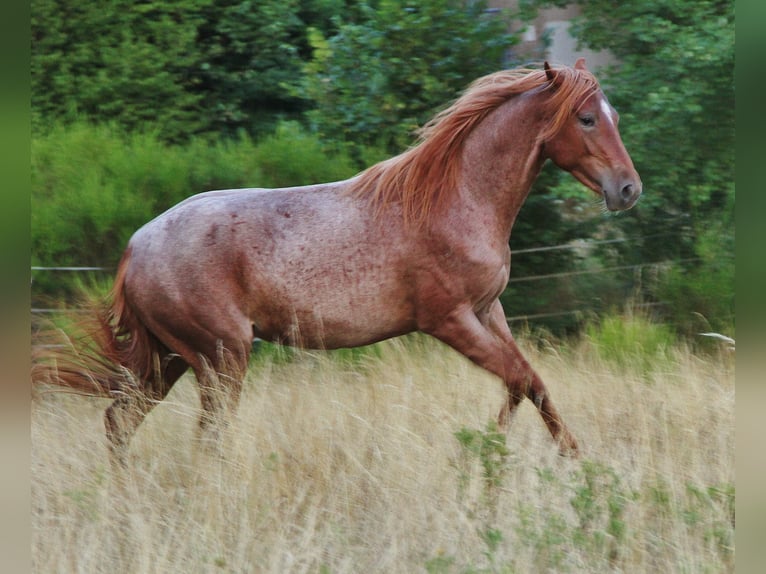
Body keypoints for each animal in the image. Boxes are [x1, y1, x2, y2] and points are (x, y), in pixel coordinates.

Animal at [33, 59, 641, 466]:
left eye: (611, 114)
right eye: (587, 119)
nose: (628, 189)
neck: (457, 198)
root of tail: (135, 248)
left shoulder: (490, 311)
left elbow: (530, 383)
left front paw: (559, 456)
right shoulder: (448, 319)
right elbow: (520, 377)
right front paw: (495, 457)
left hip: (170, 359)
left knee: (120, 421)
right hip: (220, 357)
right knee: (205, 437)